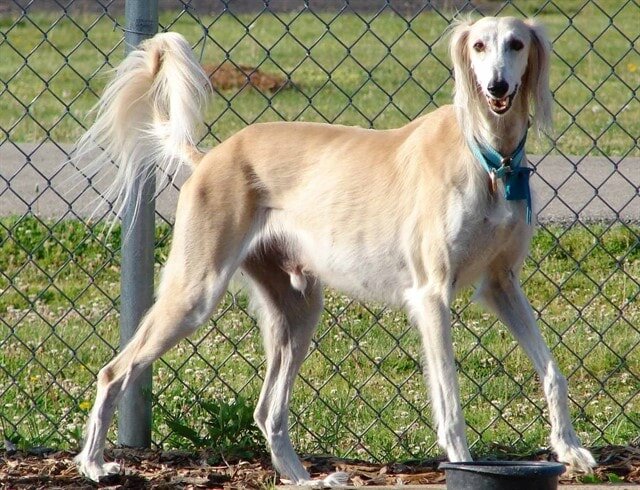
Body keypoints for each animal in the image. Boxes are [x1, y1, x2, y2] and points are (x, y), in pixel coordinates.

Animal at [74, 16, 596, 486]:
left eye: (516, 44)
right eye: (479, 46)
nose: (497, 86)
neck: (488, 157)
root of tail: (212, 156)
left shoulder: (502, 284)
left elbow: (553, 371)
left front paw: (570, 448)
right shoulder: (432, 295)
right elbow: (449, 398)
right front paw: (464, 463)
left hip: (298, 309)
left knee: (267, 411)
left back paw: (303, 479)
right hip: (195, 292)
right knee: (114, 372)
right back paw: (94, 464)